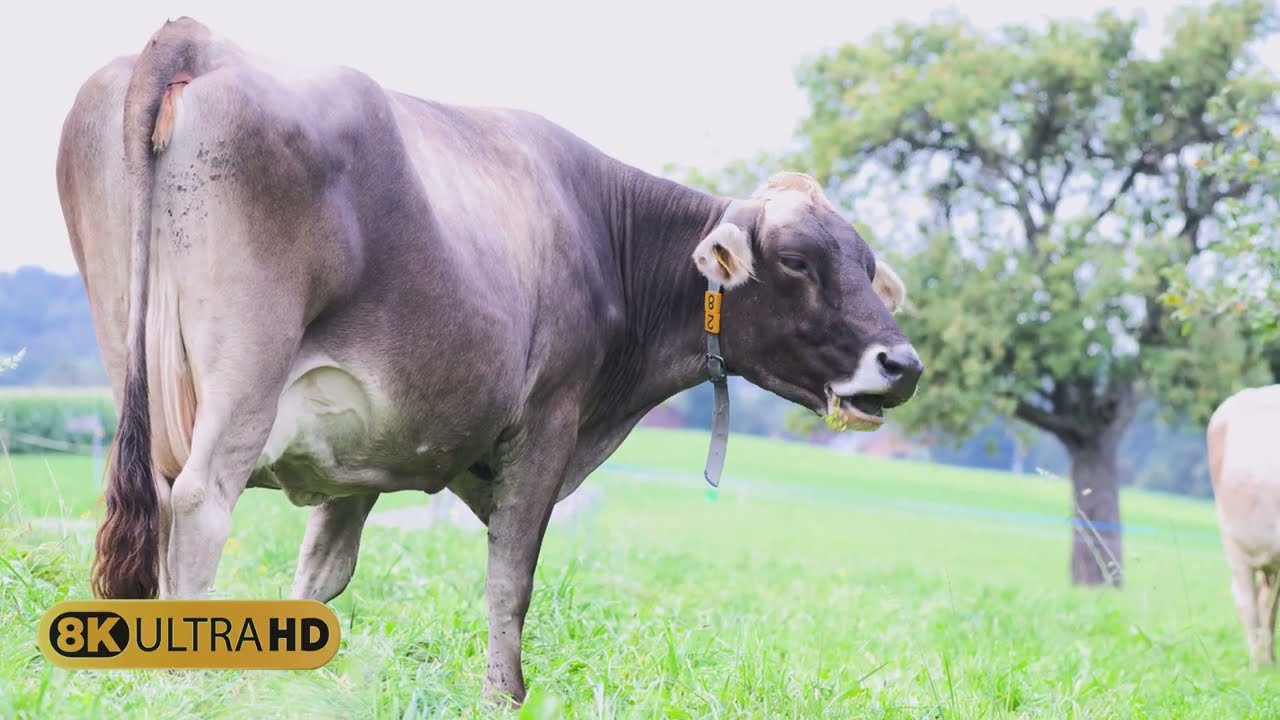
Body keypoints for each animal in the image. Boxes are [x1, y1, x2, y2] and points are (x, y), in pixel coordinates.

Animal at [55, 17, 923, 704]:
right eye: (799, 263)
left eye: (865, 264)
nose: (903, 364)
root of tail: (203, 37)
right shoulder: (547, 423)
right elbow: (512, 578)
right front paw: (504, 696)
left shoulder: (362, 446)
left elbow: (323, 574)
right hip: (245, 373)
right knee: (200, 503)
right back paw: (186, 684)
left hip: (134, 354)